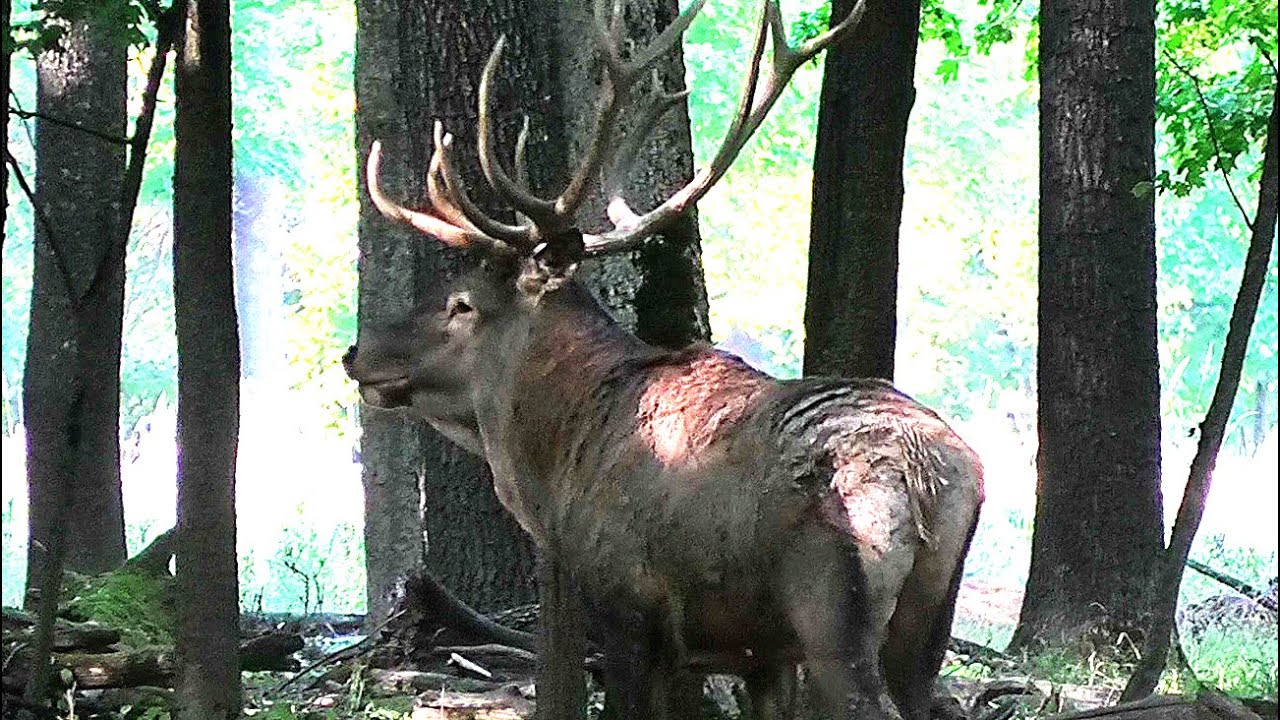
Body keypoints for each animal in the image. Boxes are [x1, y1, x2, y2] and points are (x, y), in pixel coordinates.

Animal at [343, 1, 984, 718]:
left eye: (462, 304)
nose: (355, 354)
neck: (557, 473)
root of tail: (936, 475)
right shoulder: (752, 653)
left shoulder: (628, 610)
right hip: (929, 622)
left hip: (834, 611)